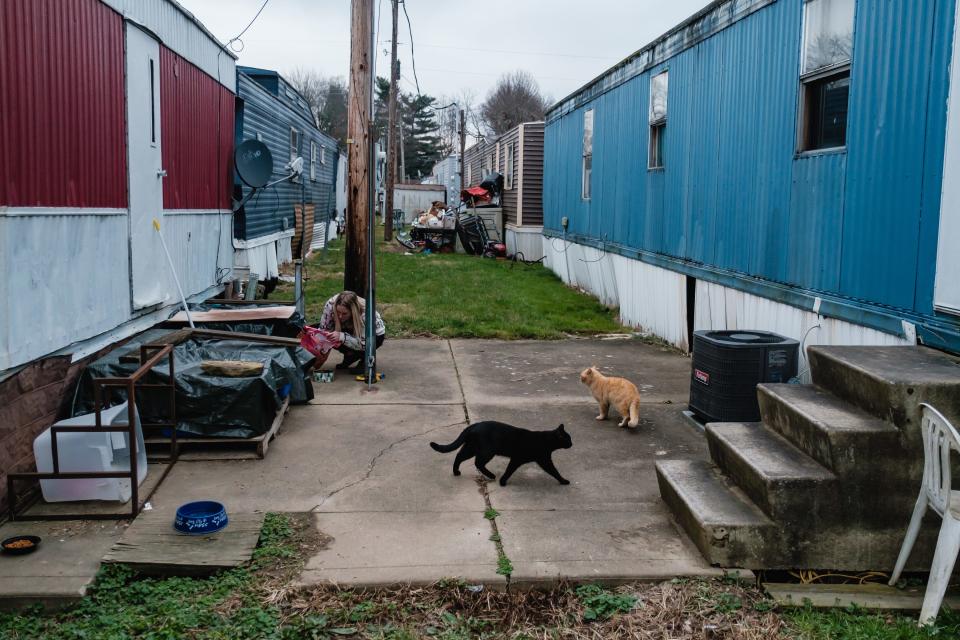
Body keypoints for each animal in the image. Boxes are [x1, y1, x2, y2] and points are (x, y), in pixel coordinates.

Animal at [428, 420, 568, 484]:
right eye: (568, 439)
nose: (571, 444)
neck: (545, 440)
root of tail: (474, 424)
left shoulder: (540, 460)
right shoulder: (523, 459)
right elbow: (554, 471)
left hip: (471, 448)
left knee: (459, 456)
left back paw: (456, 472)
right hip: (487, 451)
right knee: (477, 463)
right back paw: (491, 475)